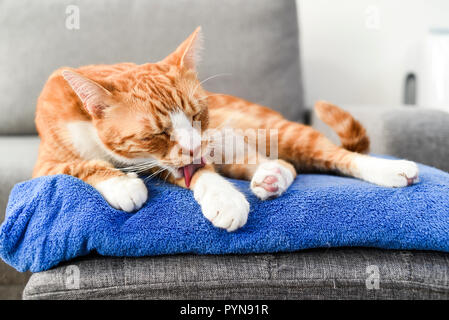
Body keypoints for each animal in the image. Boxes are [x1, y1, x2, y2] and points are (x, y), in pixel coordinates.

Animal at [33, 27, 418, 231]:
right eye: (157, 134)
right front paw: (121, 183)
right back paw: (270, 177)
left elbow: (202, 172)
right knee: (278, 163)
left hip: (276, 132)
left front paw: (224, 198)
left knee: (335, 155)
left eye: (198, 115)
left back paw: (391, 168)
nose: (194, 146)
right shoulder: (46, 164)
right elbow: (80, 164)